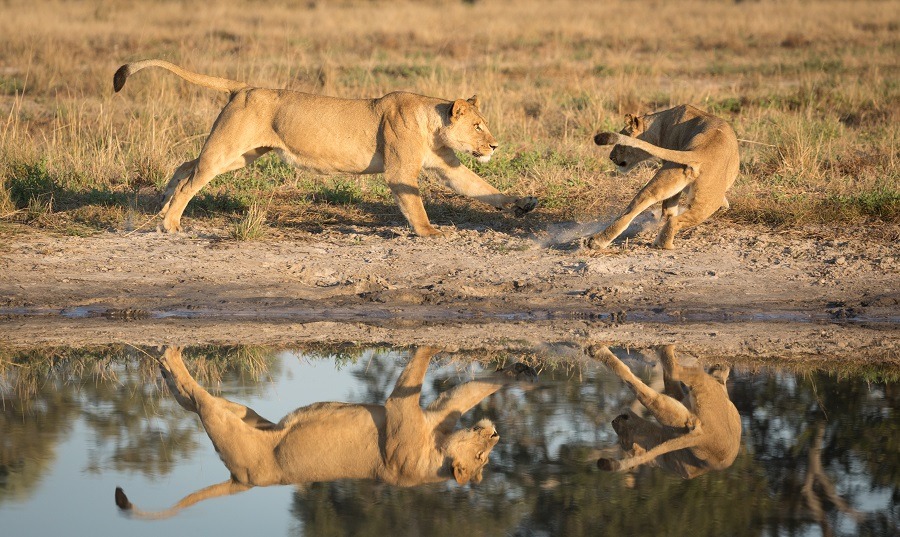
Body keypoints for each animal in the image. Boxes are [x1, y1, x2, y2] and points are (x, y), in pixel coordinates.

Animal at [112, 346, 536, 516]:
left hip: (232, 426)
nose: (495, 436)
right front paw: (520, 374)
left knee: (197, 400)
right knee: (191, 398)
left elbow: (433, 376)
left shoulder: (406, 412)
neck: (438, 453)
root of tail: (242, 482)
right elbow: (471, 389)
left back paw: (168, 357)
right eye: (483, 456)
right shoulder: (432, 413)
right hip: (244, 414)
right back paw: (165, 362)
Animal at [588, 105, 740, 251]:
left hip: (665, 179)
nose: (610, 156)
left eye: (620, 144)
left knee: (631, 211)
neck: (659, 123)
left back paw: (597, 241)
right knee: (674, 220)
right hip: (707, 203)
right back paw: (664, 244)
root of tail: (699, 150)